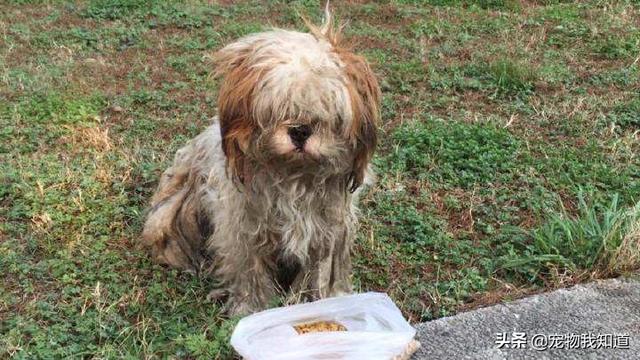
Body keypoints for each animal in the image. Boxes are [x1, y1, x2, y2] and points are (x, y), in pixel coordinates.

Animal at [141, 11, 380, 316]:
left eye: (326, 110)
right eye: (279, 108)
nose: (300, 131)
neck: (293, 175)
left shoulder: (326, 232)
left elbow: (317, 274)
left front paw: (318, 302)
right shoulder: (244, 230)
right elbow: (249, 271)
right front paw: (250, 308)